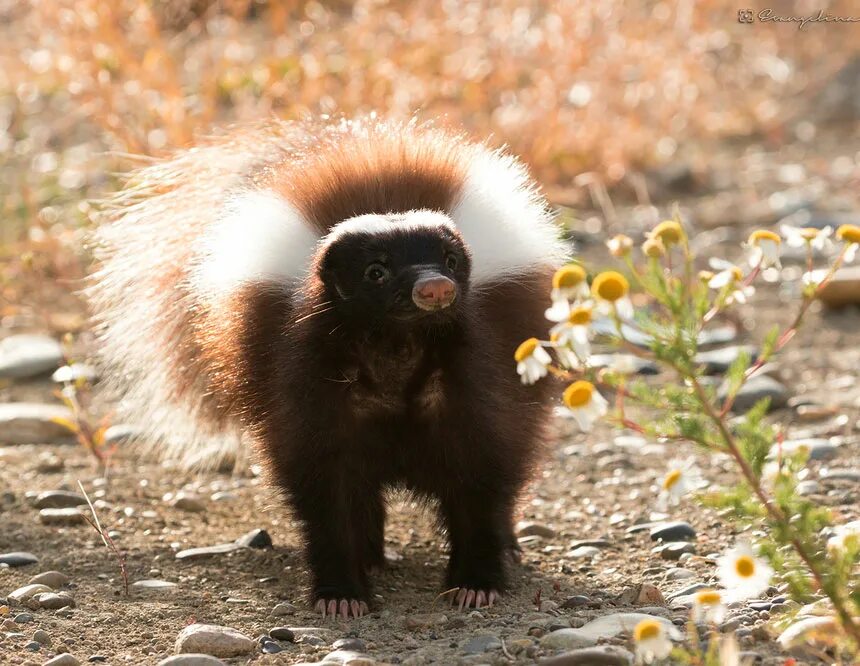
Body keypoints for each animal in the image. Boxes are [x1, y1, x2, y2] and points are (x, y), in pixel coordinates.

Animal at [89, 116, 572, 616]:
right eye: (375, 272)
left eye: (452, 261)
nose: (435, 287)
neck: (396, 350)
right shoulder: (313, 391)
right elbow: (328, 493)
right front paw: (341, 593)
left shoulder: (472, 383)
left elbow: (479, 477)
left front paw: (476, 582)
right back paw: (372, 555)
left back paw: (506, 545)